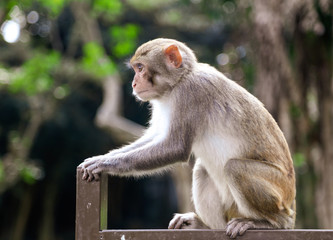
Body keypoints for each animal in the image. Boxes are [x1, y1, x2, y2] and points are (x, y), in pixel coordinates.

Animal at [78, 38, 296, 239]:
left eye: (140, 68)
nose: (134, 83)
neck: (179, 81)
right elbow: (156, 137)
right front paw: (101, 157)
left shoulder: (191, 93)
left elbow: (175, 147)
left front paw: (104, 164)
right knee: (202, 169)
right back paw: (205, 227)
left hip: (279, 192)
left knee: (234, 167)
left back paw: (268, 223)